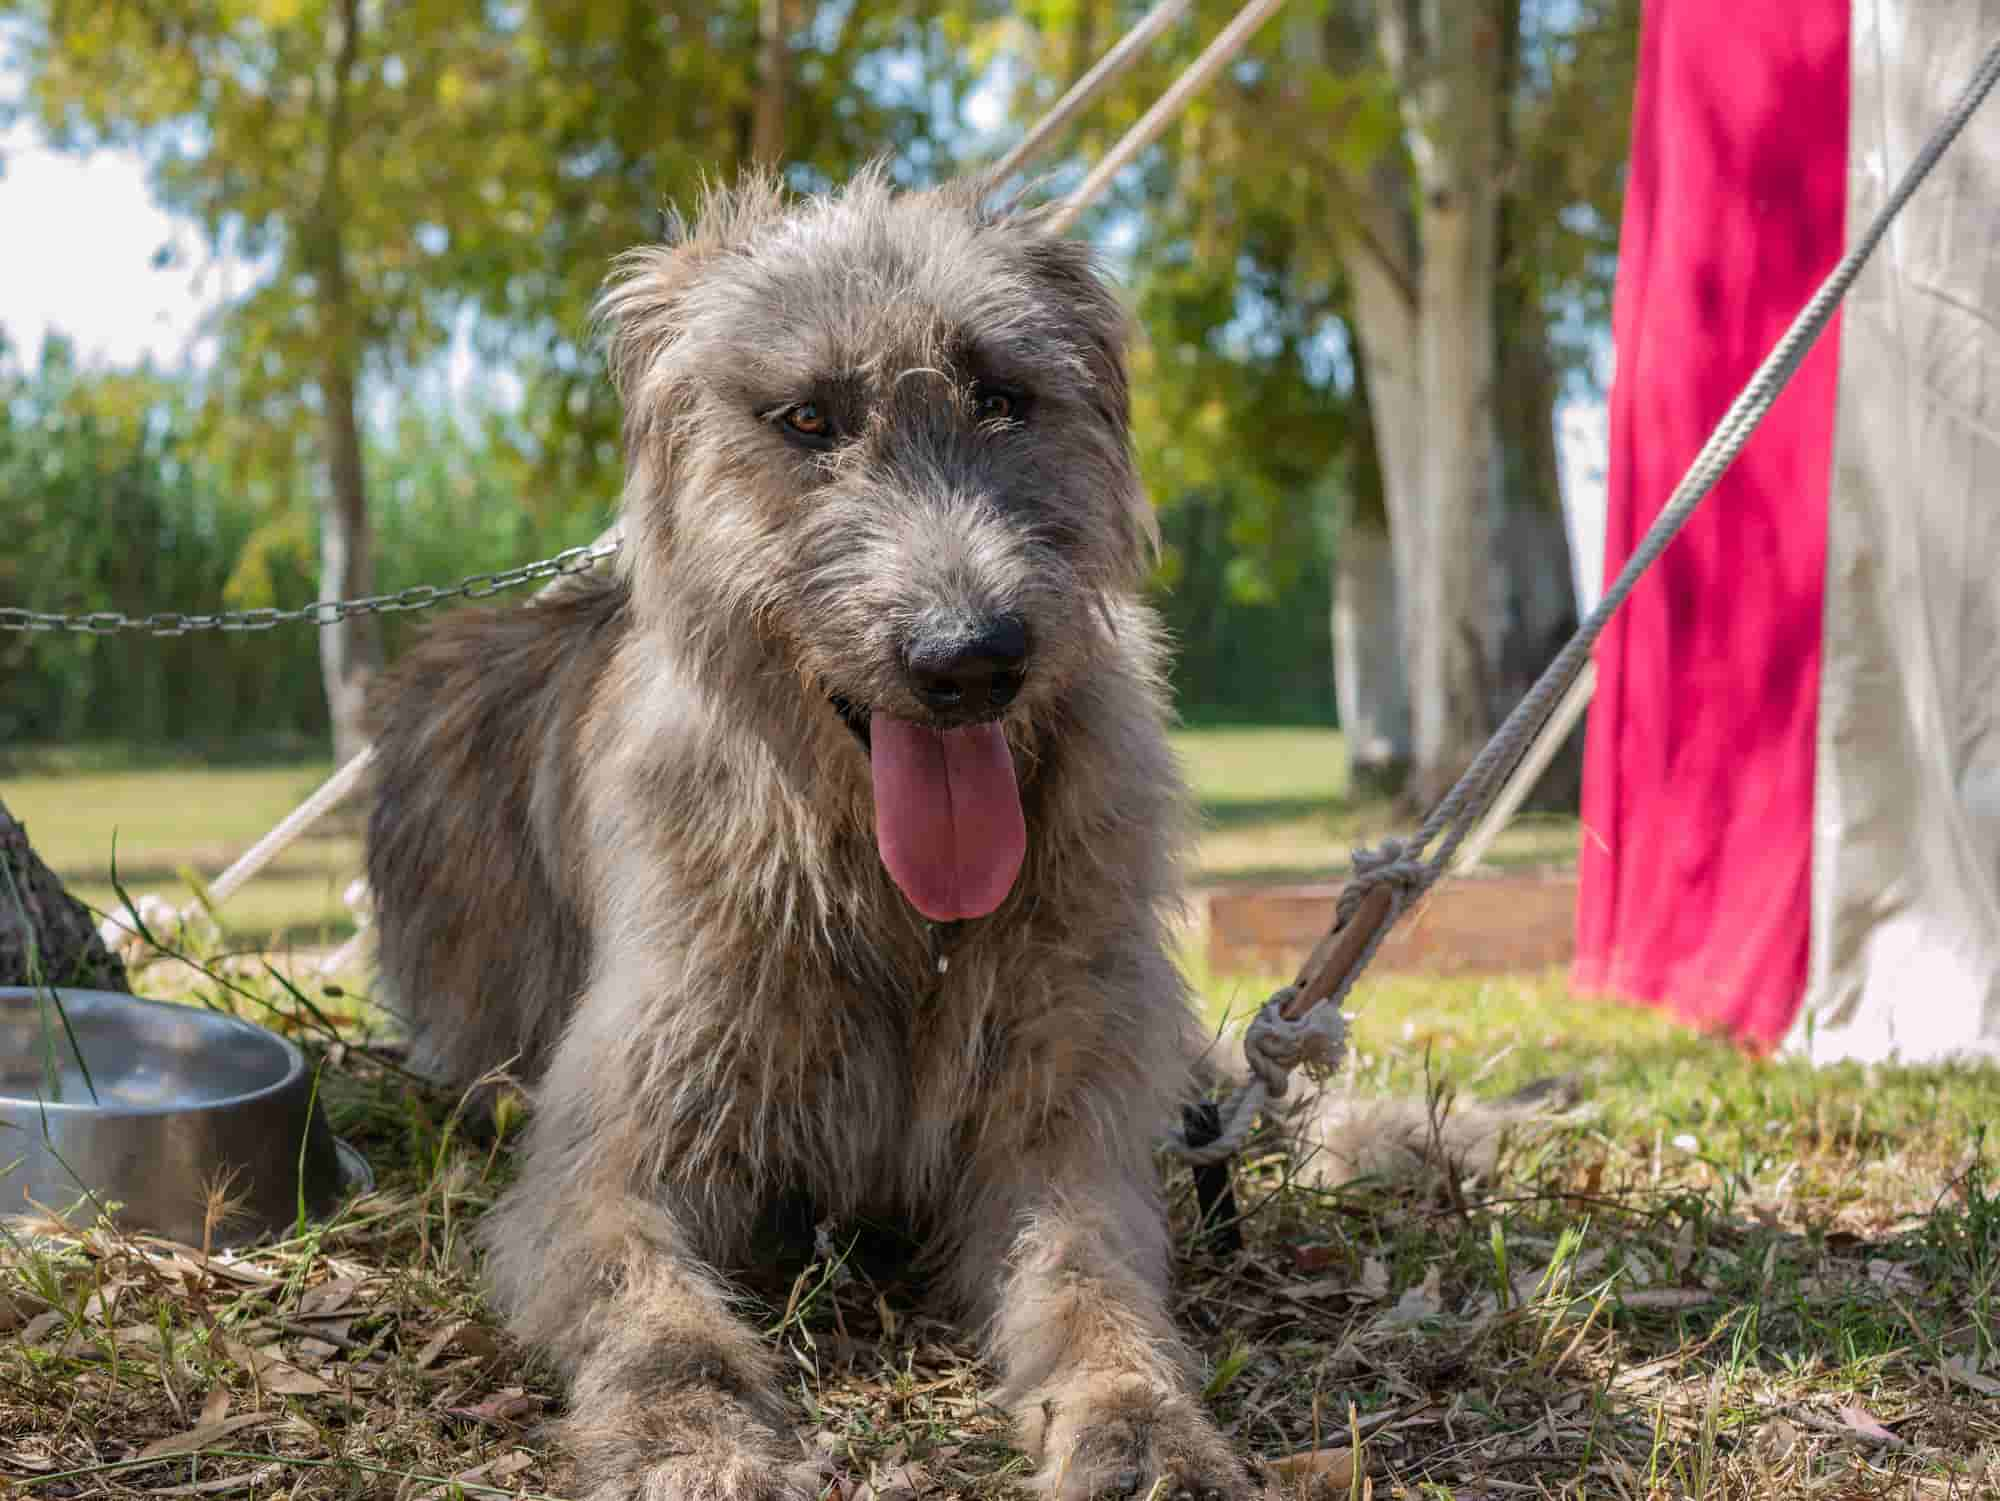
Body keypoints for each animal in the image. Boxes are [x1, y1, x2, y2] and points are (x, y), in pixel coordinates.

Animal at [364, 170, 1248, 1496]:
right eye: (807, 419)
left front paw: (1136, 1417)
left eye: (1002, 397)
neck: (900, 912)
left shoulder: (1060, 1133)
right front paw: (688, 1437)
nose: (967, 660)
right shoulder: (611, 1156)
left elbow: (1087, 1277)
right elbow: (653, 1304)